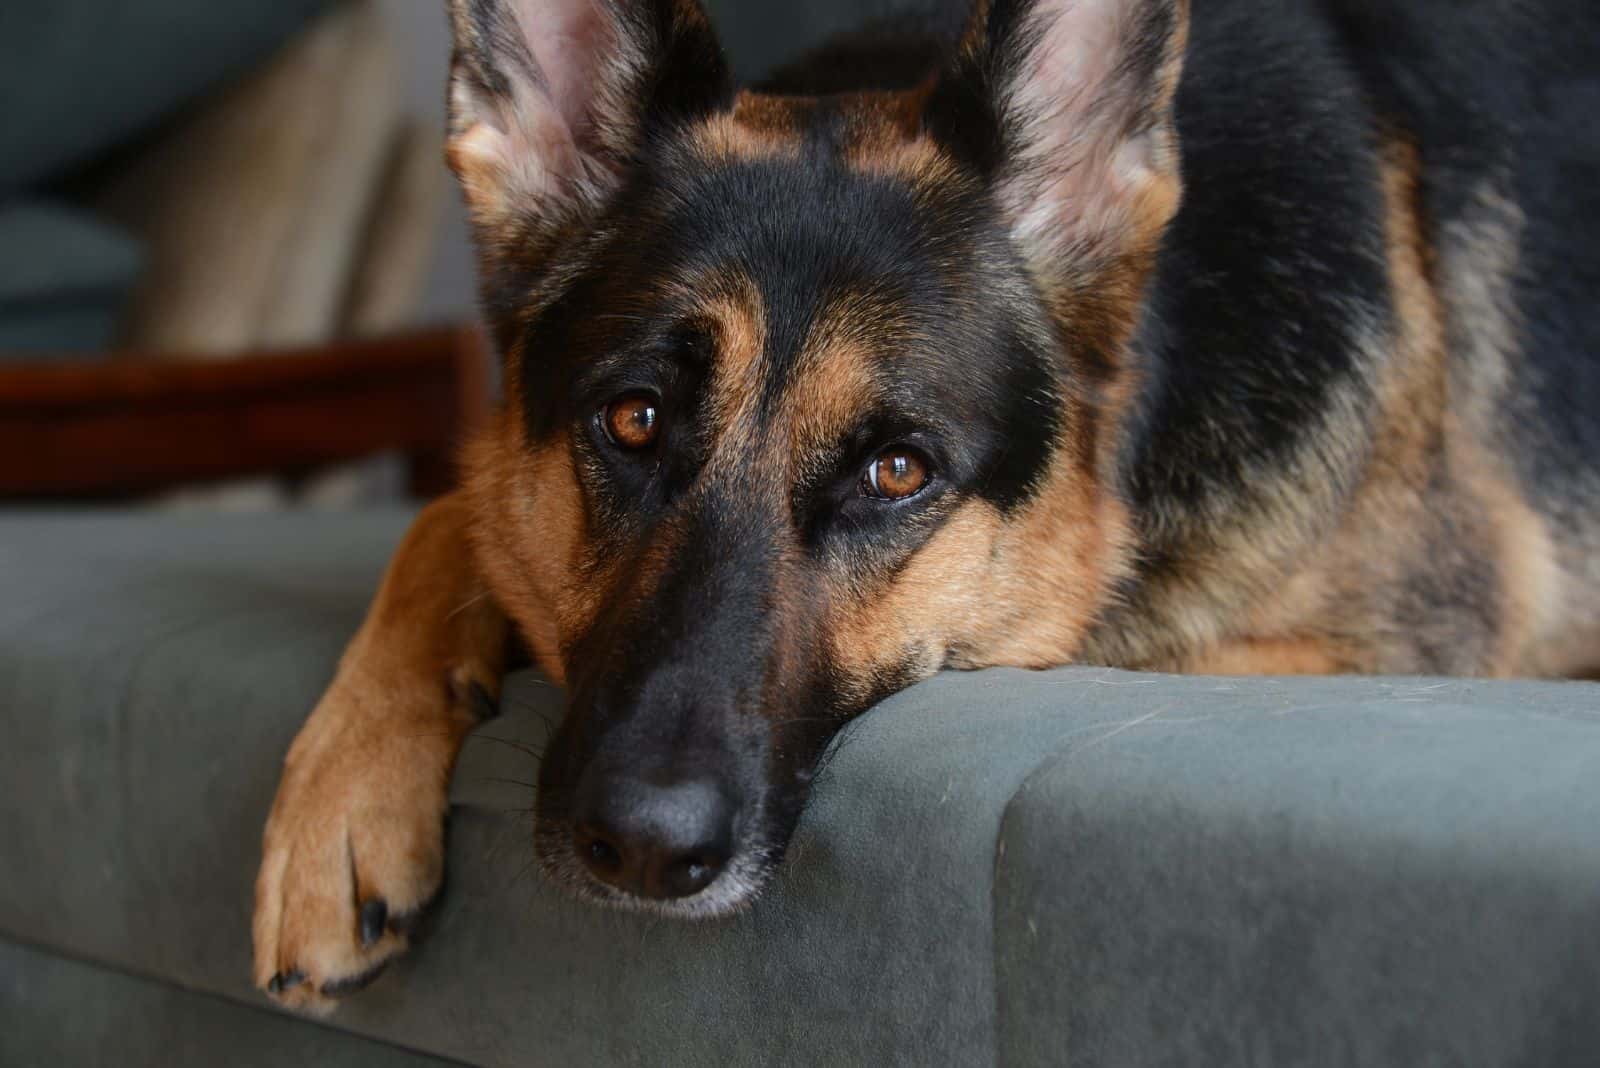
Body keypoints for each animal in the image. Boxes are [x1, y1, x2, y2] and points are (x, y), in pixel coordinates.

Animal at [252, 0, 1600, 1010]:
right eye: (632, 418)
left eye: (896, 471)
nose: (640, 845)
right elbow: (445, 516)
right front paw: (341, 798)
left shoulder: (1386, 644)